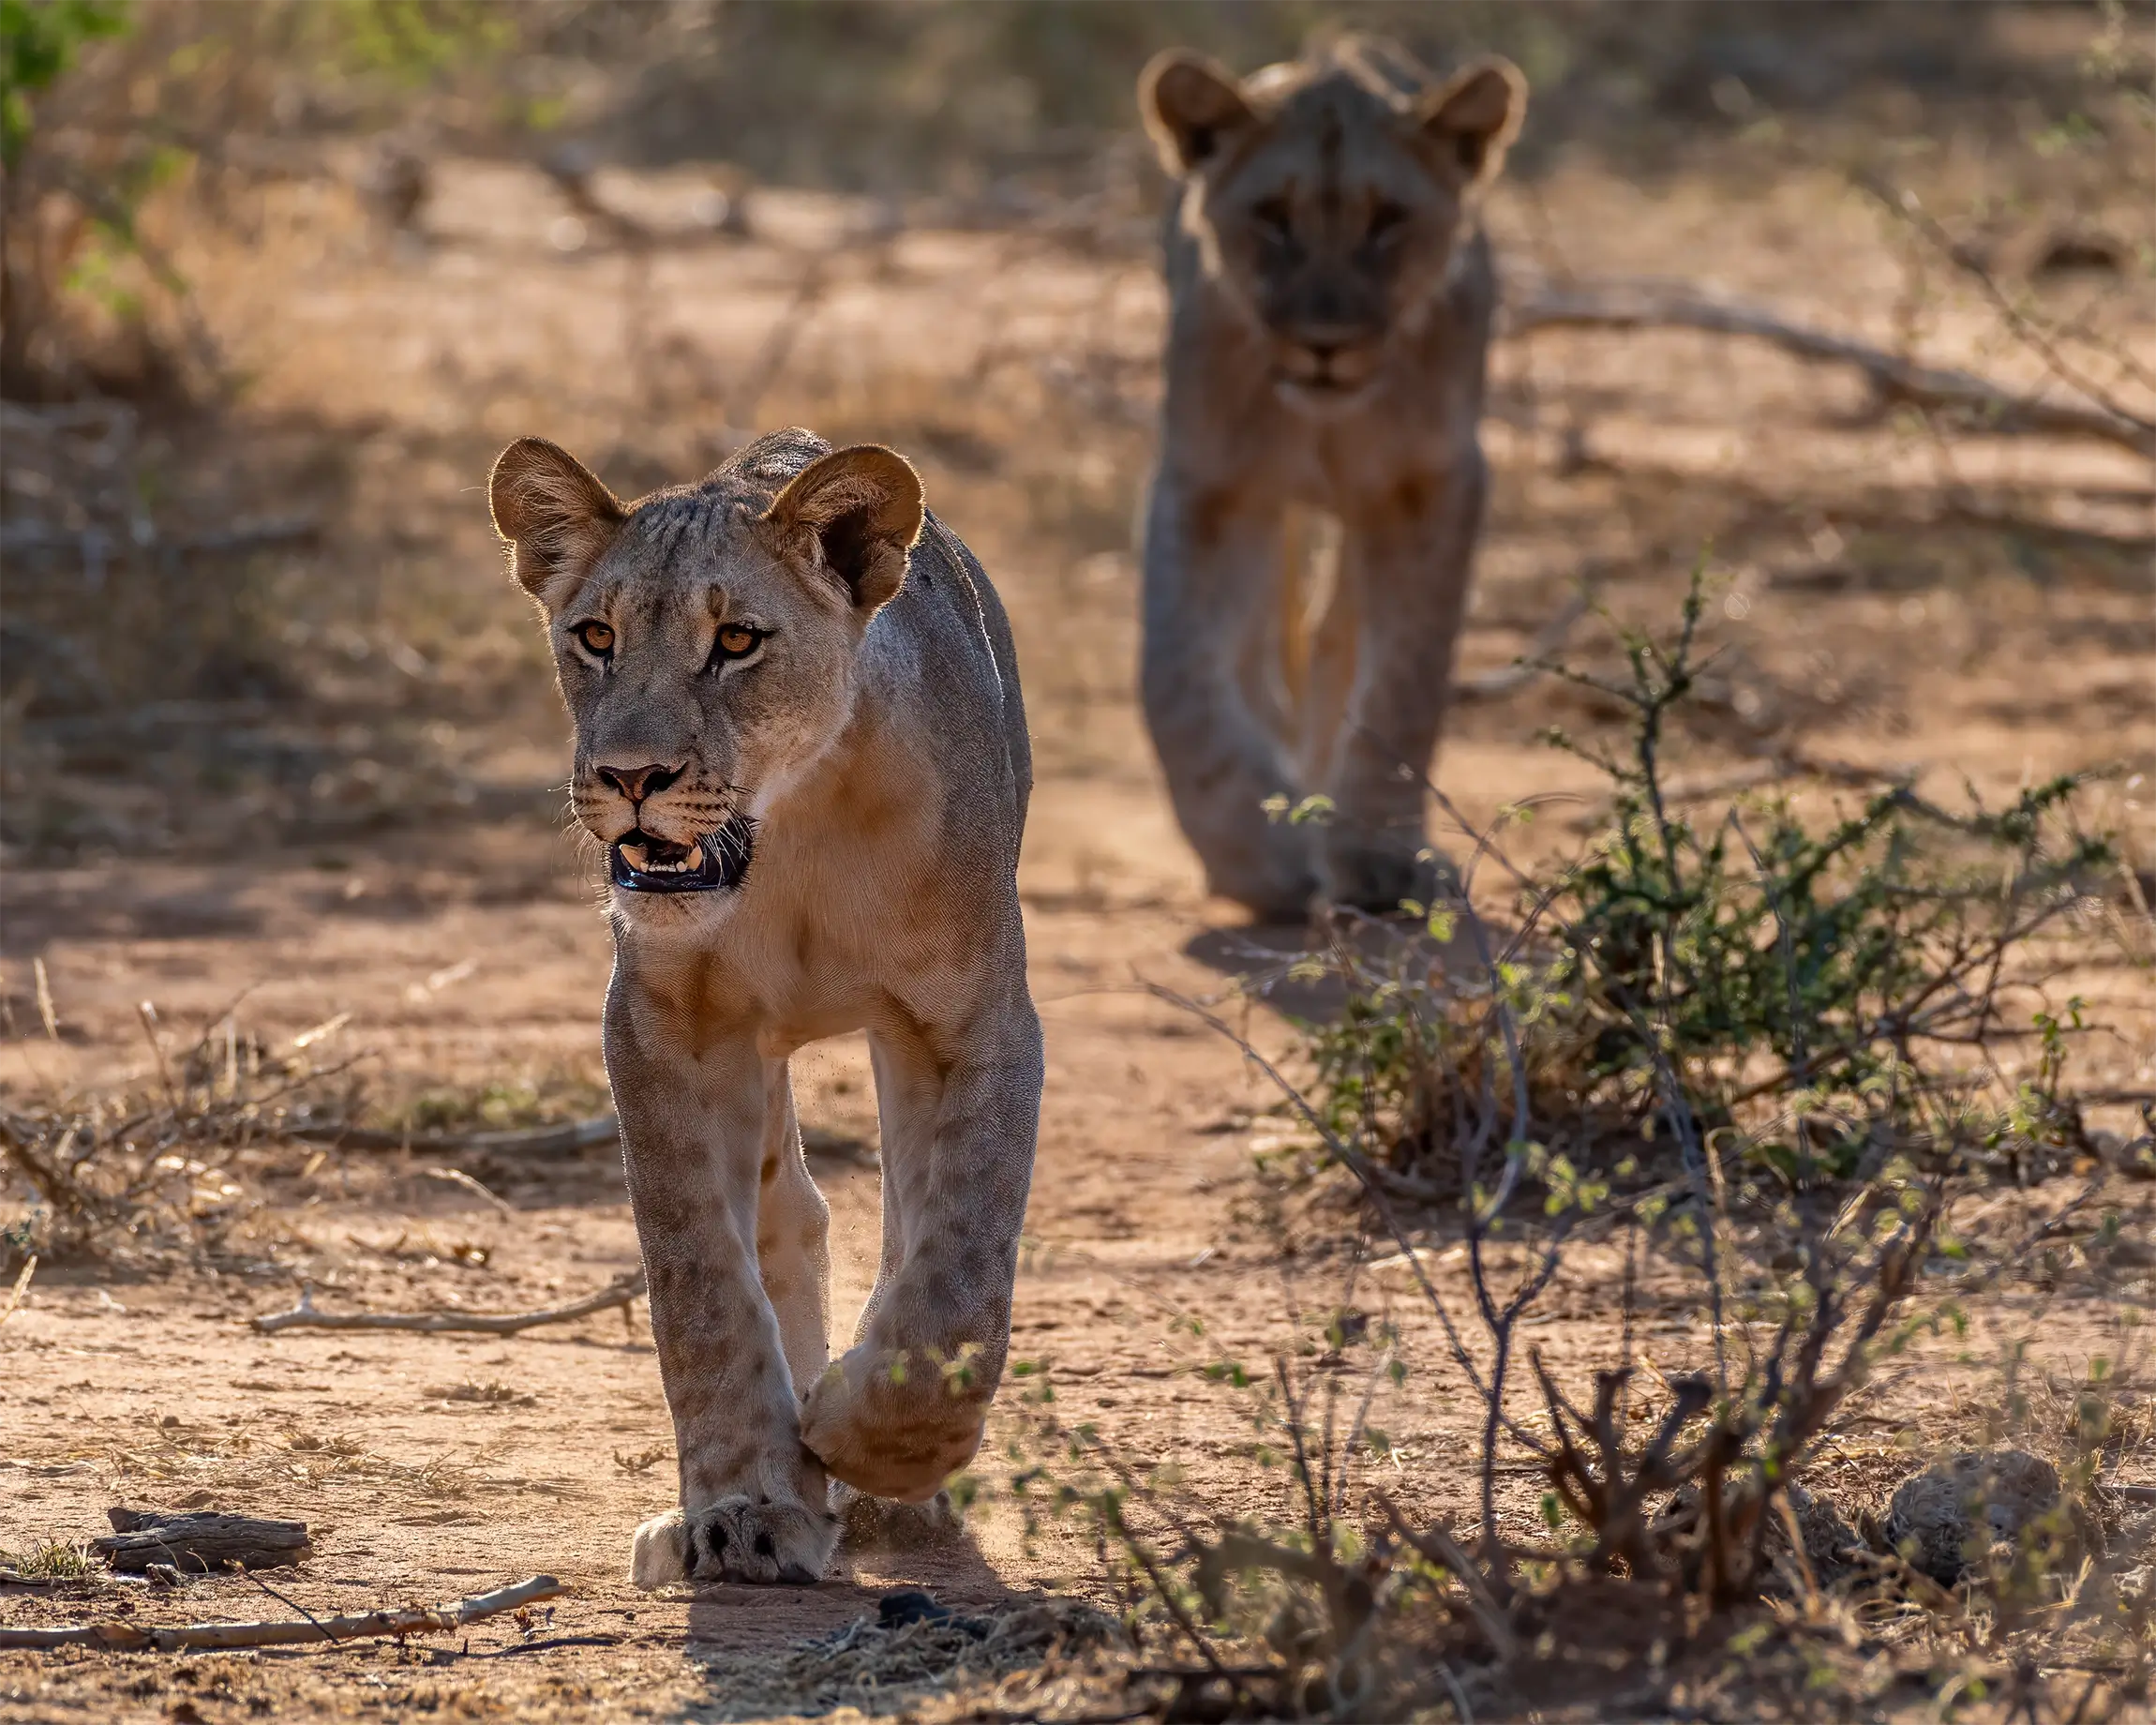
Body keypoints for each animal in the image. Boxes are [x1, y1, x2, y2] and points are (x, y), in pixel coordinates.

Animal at [489, 426, 1041, 1587]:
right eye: (595, 635)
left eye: (736, 641)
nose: (631, 775)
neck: (795, 830)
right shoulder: (666, 1024)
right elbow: (700, 1282)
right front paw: (743, 1505)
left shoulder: (977, 1023)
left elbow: (958, 1263)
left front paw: (865, 1440)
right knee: (794, 1214)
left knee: (901, 1224)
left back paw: (886, 1493)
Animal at [1135, 34, 1527, 920]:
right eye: (1273, 218)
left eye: (1388, 221)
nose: (1326, 341)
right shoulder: (1212, 481)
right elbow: (1177, 677)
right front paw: (1253, 851)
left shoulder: (1428, 483)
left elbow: (1404, 681)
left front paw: (1374, 852)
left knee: (1333, 636)